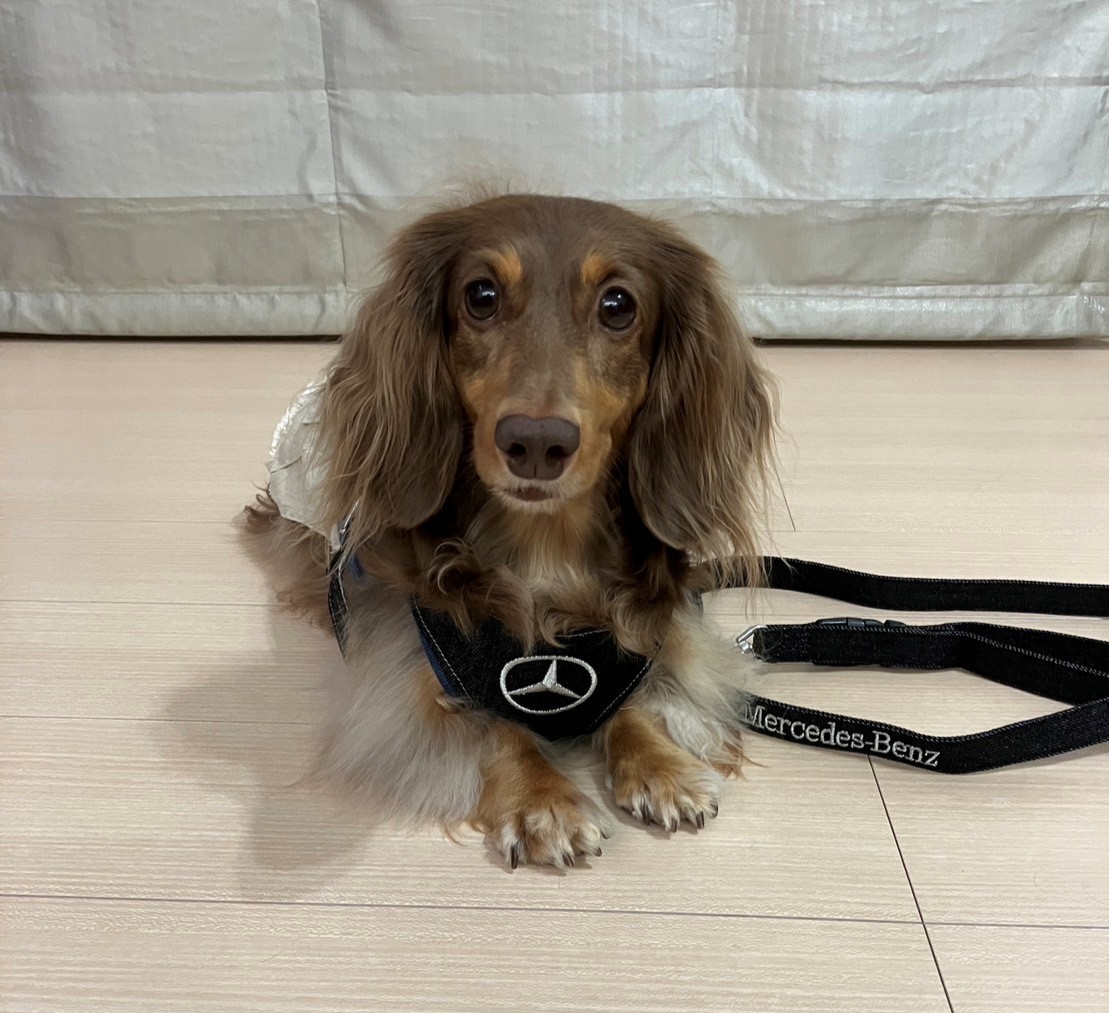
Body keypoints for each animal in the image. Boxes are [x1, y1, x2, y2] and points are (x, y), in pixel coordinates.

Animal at [243, 192, 775, 868]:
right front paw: (542, 799)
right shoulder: (409, 686)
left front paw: (661, 766)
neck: (546, 549)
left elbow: (632, 697)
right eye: (482, 295)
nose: (537, 443)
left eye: (618, 306)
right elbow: (497, 722)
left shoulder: (658, 639)